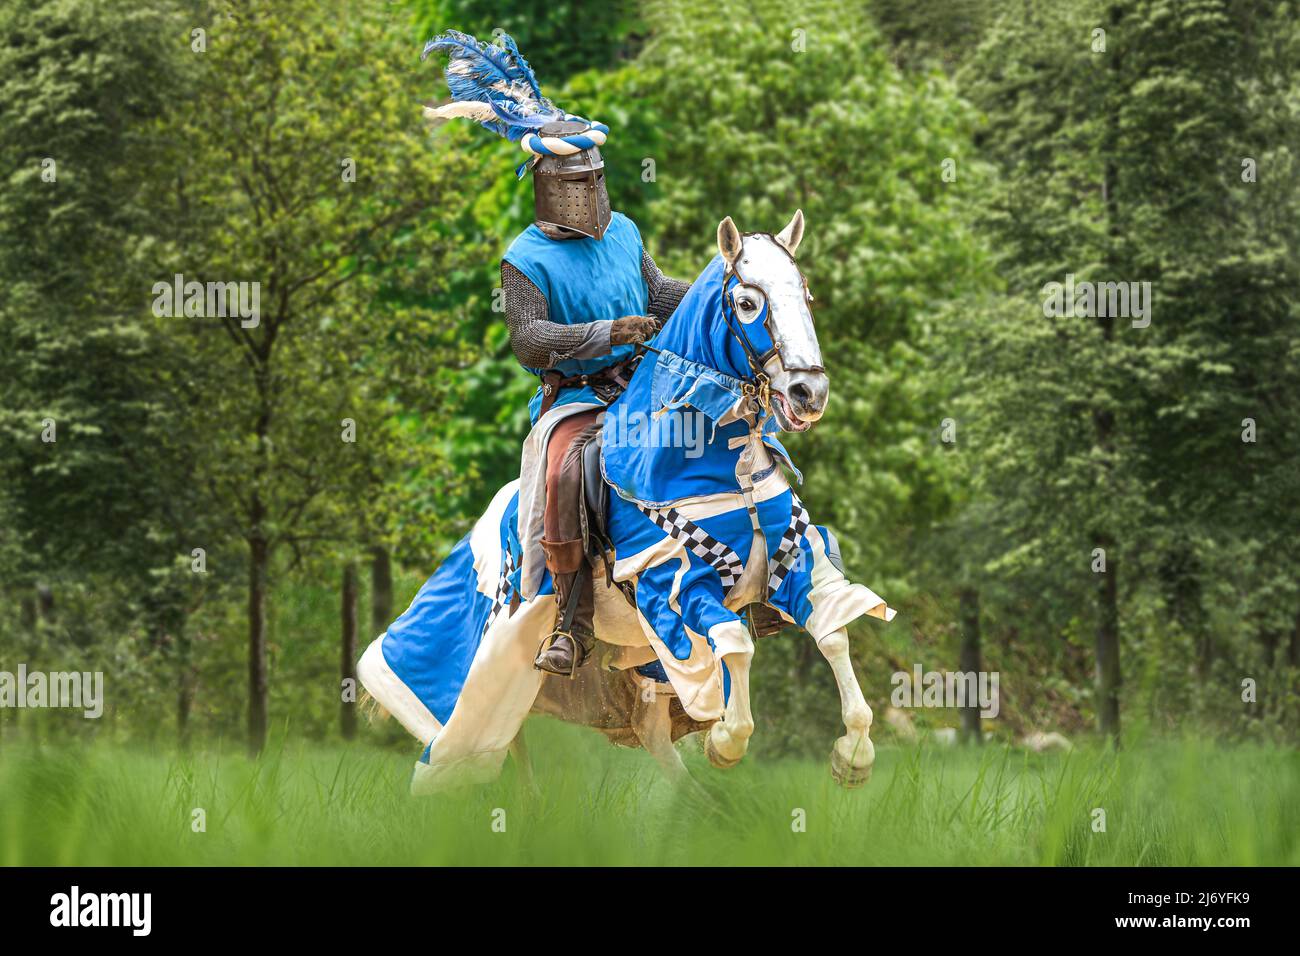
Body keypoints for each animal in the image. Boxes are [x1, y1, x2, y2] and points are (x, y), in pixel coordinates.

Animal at [361, 213, 899, 796]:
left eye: (805, 294)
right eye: (747, 304)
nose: (808, 394)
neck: (718, 457)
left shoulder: (796, 558)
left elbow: (833, 633)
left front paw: (854, 755)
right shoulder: (675, 583)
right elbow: (734, 644)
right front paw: (726, 740)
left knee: (644, 728)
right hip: (498, 654)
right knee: (477, 740)